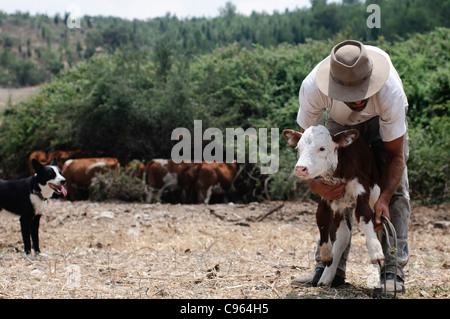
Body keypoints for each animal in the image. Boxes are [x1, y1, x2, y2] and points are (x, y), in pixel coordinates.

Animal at [284, 125, 384, 288]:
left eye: (322, 148)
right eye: (299, 148)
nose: (300, 168)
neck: (337, 174)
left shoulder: (361, 189)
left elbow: (365, 216)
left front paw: (376, 252)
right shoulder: (324, 195)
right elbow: (322, 221)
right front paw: (326, 254)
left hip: (374, 193)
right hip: (341, 207)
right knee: (343, 234)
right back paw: (326, 276)